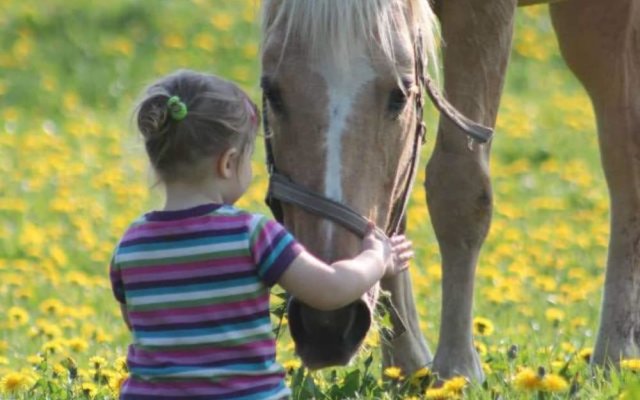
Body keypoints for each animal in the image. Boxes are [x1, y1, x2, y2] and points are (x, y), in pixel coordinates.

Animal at [258, 0, 640, 382]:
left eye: (400, 96)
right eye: (271, 92)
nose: (326, 323)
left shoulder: (485, 15)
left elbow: (460, 187)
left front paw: (458, 368)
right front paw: (406, 365)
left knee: (623, 155)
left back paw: (615, 352)